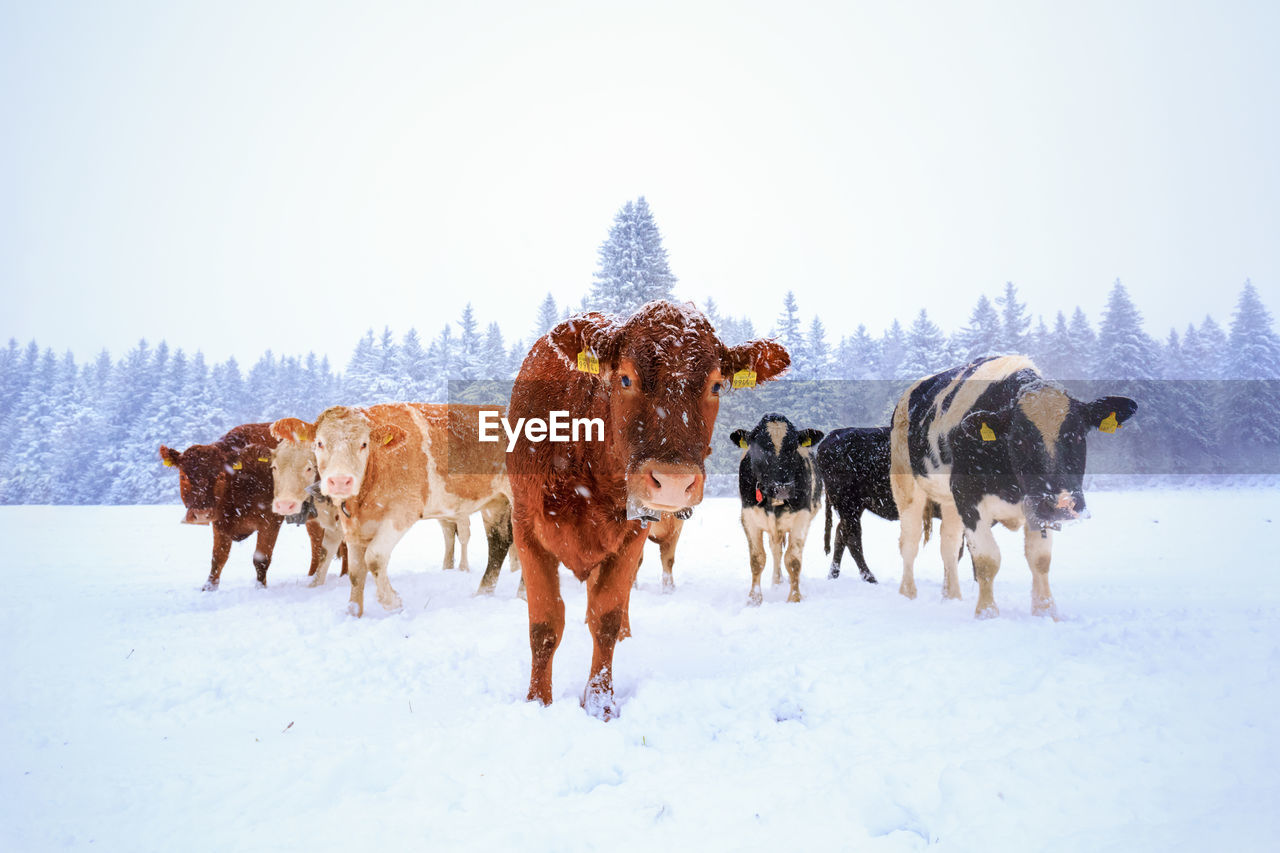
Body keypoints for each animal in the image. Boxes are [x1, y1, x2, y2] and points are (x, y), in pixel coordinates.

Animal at [158, 422, 327, 589]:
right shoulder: (220, 523)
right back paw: (312, 576)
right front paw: (209, 588)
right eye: (183, 476)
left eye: (221, 476)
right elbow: (218, 558)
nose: (201, 515)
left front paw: (260, 587)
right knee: (317, 541)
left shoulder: (270, 521)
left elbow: (261, 559)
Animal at [270, 402, 514, 614]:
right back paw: (484, 592)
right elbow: (356, 571)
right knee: (500, 542)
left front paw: (392, 601)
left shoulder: (402, 512)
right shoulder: (352, 525)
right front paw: (354, 611)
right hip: (495, 502)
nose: (340, 481)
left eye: (364, 444)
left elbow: (374, 557)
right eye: (319, 443)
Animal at [509, 300, 788, 717]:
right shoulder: (527, 527)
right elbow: (544, 626)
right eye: (625, 378)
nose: (673, 481)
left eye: (716, 385)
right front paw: (538, 702)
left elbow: (605, 618)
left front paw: (601, 704)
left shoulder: (632, 534)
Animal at [737, 412, 824, 601]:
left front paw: (794, 597)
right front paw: (754, 599)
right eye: (761, 449)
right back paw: (776, 582)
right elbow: (757, 559)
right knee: (776, 550)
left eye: (793, 447)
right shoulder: (749, 517)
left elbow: (793, 559)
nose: (783, 487)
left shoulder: (802, 518)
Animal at [890, 353, 1141, 617]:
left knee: (948, 544)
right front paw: (987, 613)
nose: (1062, 504)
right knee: (909, 542)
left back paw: (952, 597)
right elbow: (987, 559)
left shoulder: (1036, 507)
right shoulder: (969, 497)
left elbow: (1040, 559)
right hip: (906, 485)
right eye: (1019, 439)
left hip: (950, 501)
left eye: (1078, 436)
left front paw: (1045, 611)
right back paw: (908, 594)